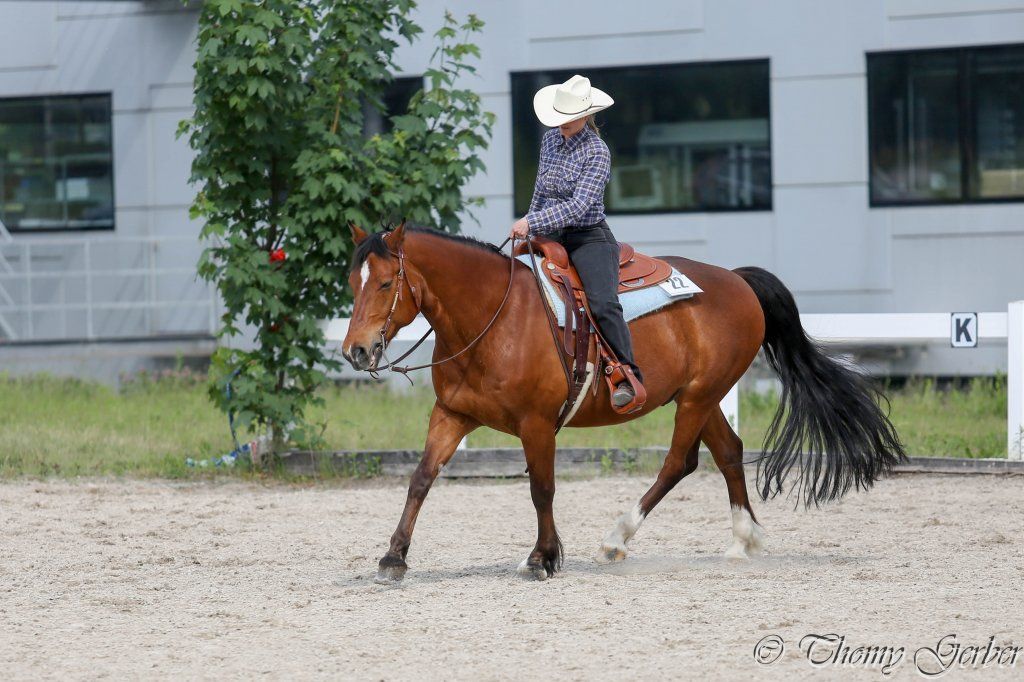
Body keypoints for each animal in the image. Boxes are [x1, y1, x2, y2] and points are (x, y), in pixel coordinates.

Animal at [342, 223, 905, 583]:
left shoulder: (536, 423)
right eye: (352, 283)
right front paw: (393, 556)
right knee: (728, 452)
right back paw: (742, 539)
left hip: (698, 397)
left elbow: (542, 489)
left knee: (680, 461)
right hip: (702, 397)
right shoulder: (453, 414)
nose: (357, 350)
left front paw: (543, 558)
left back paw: (617, 538)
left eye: (387, 282)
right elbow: (420, 479)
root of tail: (737, 279)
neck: (492, 319)